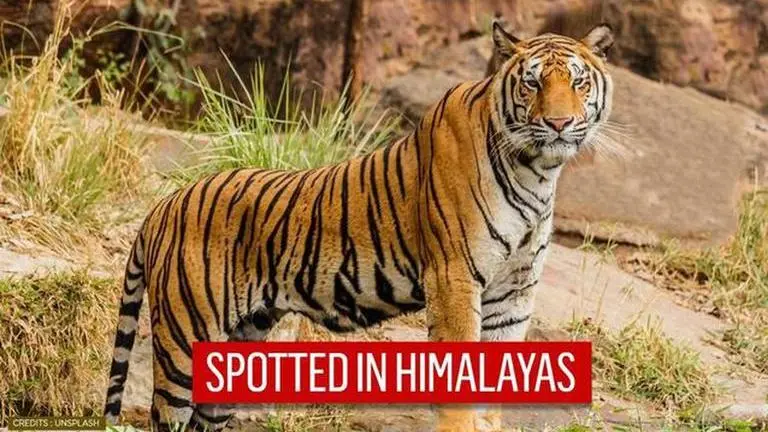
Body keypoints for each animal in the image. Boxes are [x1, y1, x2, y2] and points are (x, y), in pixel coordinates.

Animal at [104, 22, 614, 432]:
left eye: (578, 81)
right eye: (532, 83)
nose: (559, 123)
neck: (538, 171)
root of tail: (165, 204)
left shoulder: (514, 291)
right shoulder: (454, 277)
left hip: (237, 346)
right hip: (185, 340)